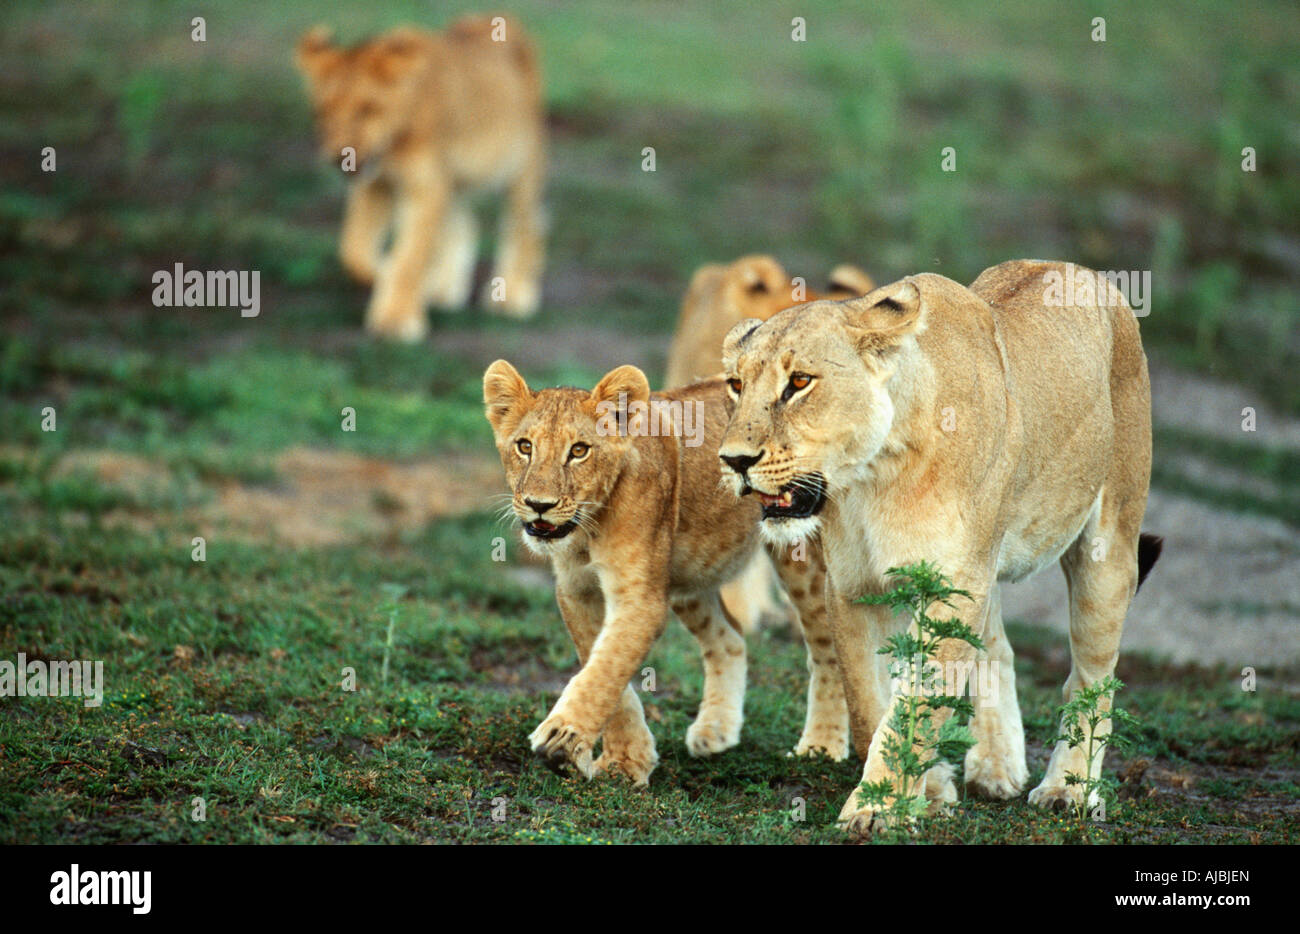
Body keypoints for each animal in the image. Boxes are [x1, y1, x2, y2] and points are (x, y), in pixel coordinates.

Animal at [296, 16, 546, 341]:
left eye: (368, 109)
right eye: (322, 112)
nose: (340, 156)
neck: (393, 145)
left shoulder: (425, 186)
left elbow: (410, 255)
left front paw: (397, 319)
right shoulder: (376, 184)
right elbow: (354, 251)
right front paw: (384, 274)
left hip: (523, 163)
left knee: (523, 225)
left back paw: (515, 294)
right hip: (454, 179)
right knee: (464, 224)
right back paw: (443, 289)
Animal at [483, 359, 850, 786]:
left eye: (579, 451)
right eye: (524, 446)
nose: (539, 505)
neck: (586, 529)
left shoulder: (640, 599)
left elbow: (606, 669)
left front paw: (564, 738)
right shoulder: (577, 592)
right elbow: (604, 670)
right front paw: (625, 760)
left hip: (801, 558)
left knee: (826, 648)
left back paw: (821, 746)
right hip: (689, 577)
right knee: (729, 637)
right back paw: (717, 731)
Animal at [717, 259, 1161, 835]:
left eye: (799, 382)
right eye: (735, 384)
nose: (734, 460)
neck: (877, 474)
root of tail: (1081, 271)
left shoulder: (953, 586)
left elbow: (916, 706)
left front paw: (878, 808)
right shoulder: (856, 587)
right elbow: (871, 702)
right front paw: (923, 793)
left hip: (1107, 549)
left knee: (1090, 678)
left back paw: (1067, 789)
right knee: (999, 649)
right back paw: (996, 767)